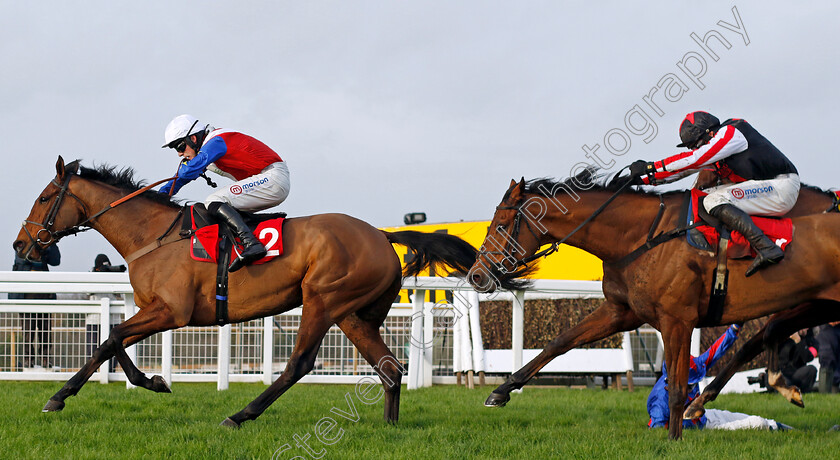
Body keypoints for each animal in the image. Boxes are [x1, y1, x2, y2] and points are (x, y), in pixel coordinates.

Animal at [11, 157, 480, 428]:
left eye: (45, 197)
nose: (21, 245)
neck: (153, 234)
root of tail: (382, 236)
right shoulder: (154, 310)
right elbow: (114, 341)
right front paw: (153, 381)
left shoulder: (172, 312)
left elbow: (109, 340)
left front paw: (59, 398)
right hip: (354, 313)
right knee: (389, 368)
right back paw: (388, 427)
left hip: (322, 299)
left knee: (299, 364)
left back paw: (240, 415)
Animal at [470, 168, 840, 438]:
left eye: (501, 225)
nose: (476, 275)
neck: (639, 237)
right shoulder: (623, 311)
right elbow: (560, 342)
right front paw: (501, 390)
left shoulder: (678, 320)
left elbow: (676, 385)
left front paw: (674, 439)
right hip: (820, 304)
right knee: (768, 332)